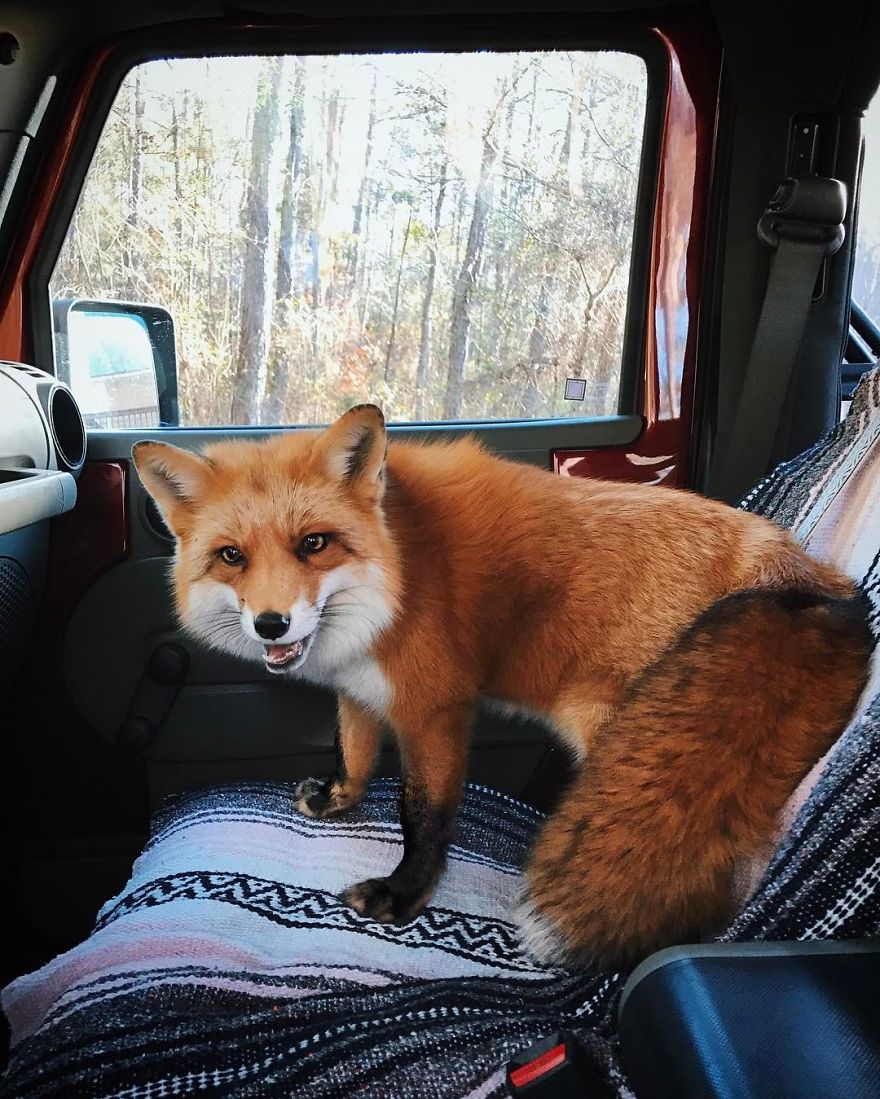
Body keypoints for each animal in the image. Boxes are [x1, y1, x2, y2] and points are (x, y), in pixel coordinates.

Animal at [132, 404, 872, 967]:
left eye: (313, 543)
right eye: (232, 557)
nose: (271, 623)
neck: (398, 569)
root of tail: (812, 577)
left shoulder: (435, 708)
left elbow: (424, 816)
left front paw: (406, 895)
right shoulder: (361, 687)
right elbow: (355, 749)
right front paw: (341, 798)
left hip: (614, 732)